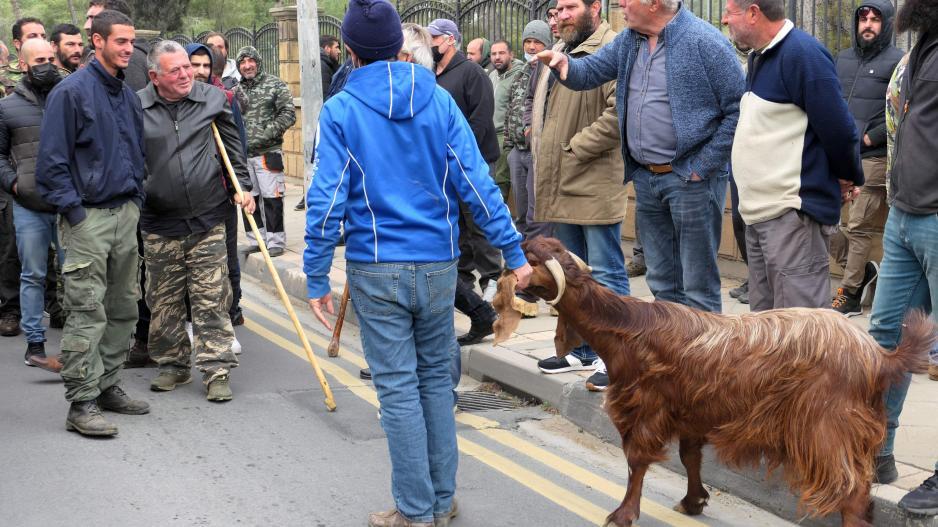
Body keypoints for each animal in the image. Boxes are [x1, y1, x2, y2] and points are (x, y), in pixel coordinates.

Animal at [494, 238, 932, 527]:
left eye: (529, 259)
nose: (517, 243)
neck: (627, 326)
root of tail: (877, 355)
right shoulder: (691, 412)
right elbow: (690, 458)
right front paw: (693, 501)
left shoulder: (646, 408)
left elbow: (637, 462)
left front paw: (623, 514)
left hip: (828, 427)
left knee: (851, 490)